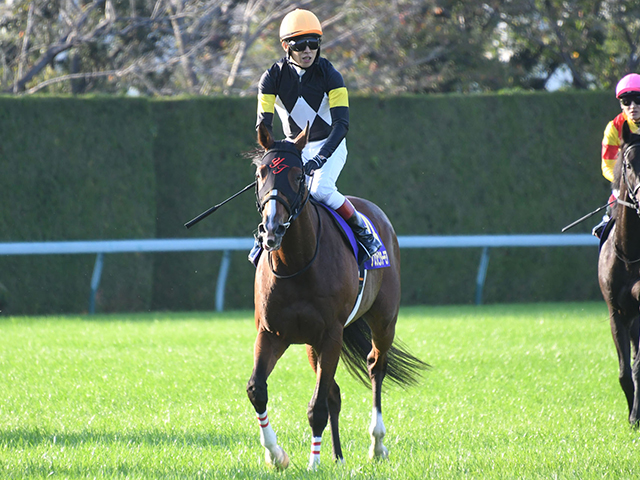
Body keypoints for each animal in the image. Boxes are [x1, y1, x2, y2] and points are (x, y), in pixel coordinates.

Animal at [248, 123, 428, 468]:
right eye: (261, 173)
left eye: (298, 175)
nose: (272, 229)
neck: (296, 264)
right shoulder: (271, 333)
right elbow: (257, 390)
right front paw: (276, 455)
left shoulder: (331, 334)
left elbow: (316, 406)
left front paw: (312, 464)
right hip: (311, 345)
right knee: (335, 392)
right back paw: (337, 455)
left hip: (384, 319)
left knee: (376, 366)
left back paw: (377, 444)